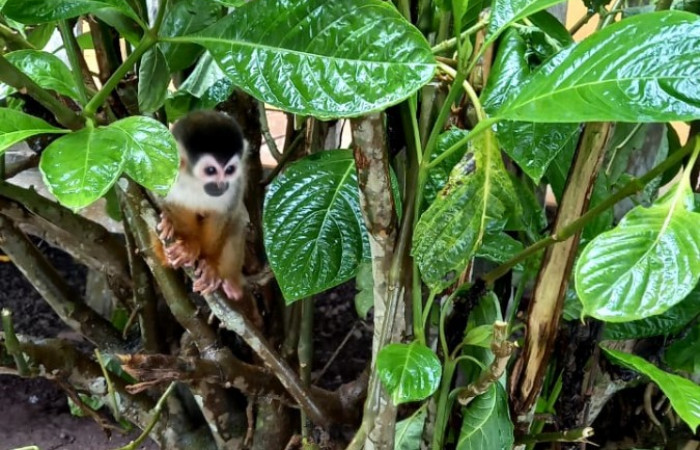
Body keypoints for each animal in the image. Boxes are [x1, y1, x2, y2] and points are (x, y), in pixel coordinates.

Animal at [154, 110, 248, 301]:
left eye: (229, 170)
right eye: (211, 170)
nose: (221, 185)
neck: (195, 182)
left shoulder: (236, 183)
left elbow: (224, 214)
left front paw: (209, 263)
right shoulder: (164, 169)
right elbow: (166, 201)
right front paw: (189, 244)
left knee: (238, 220)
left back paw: (231, 282)